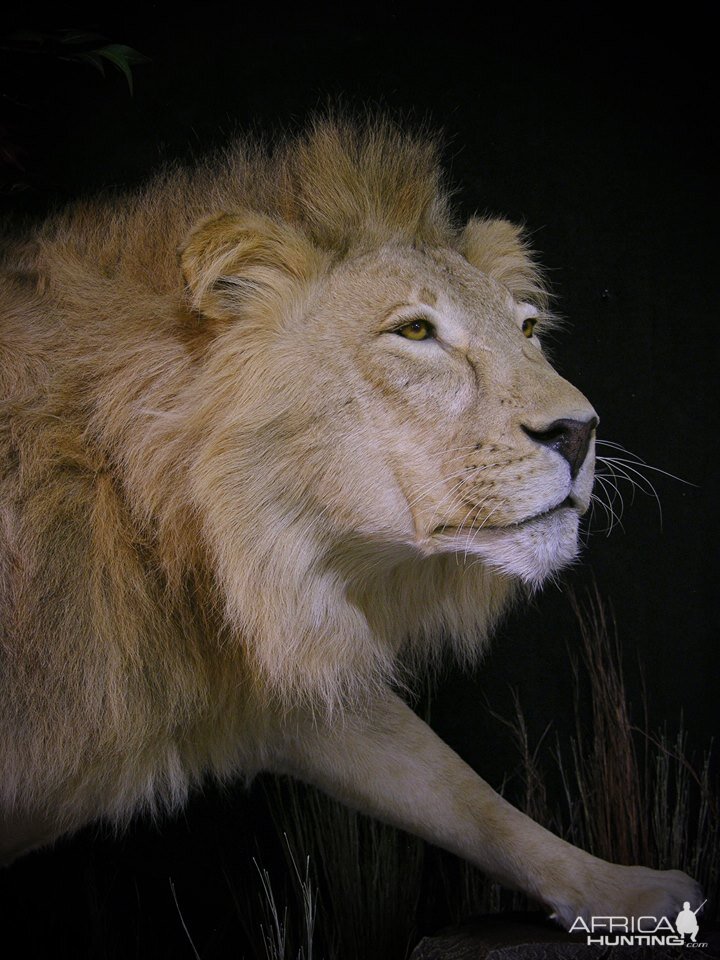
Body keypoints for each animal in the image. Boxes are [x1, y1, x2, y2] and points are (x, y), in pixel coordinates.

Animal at [0, 116, 696, 928]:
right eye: (416, 332)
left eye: (527, 328)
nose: (582, 432)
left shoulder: (266, 675)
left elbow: (456, 790)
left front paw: (624, 891)